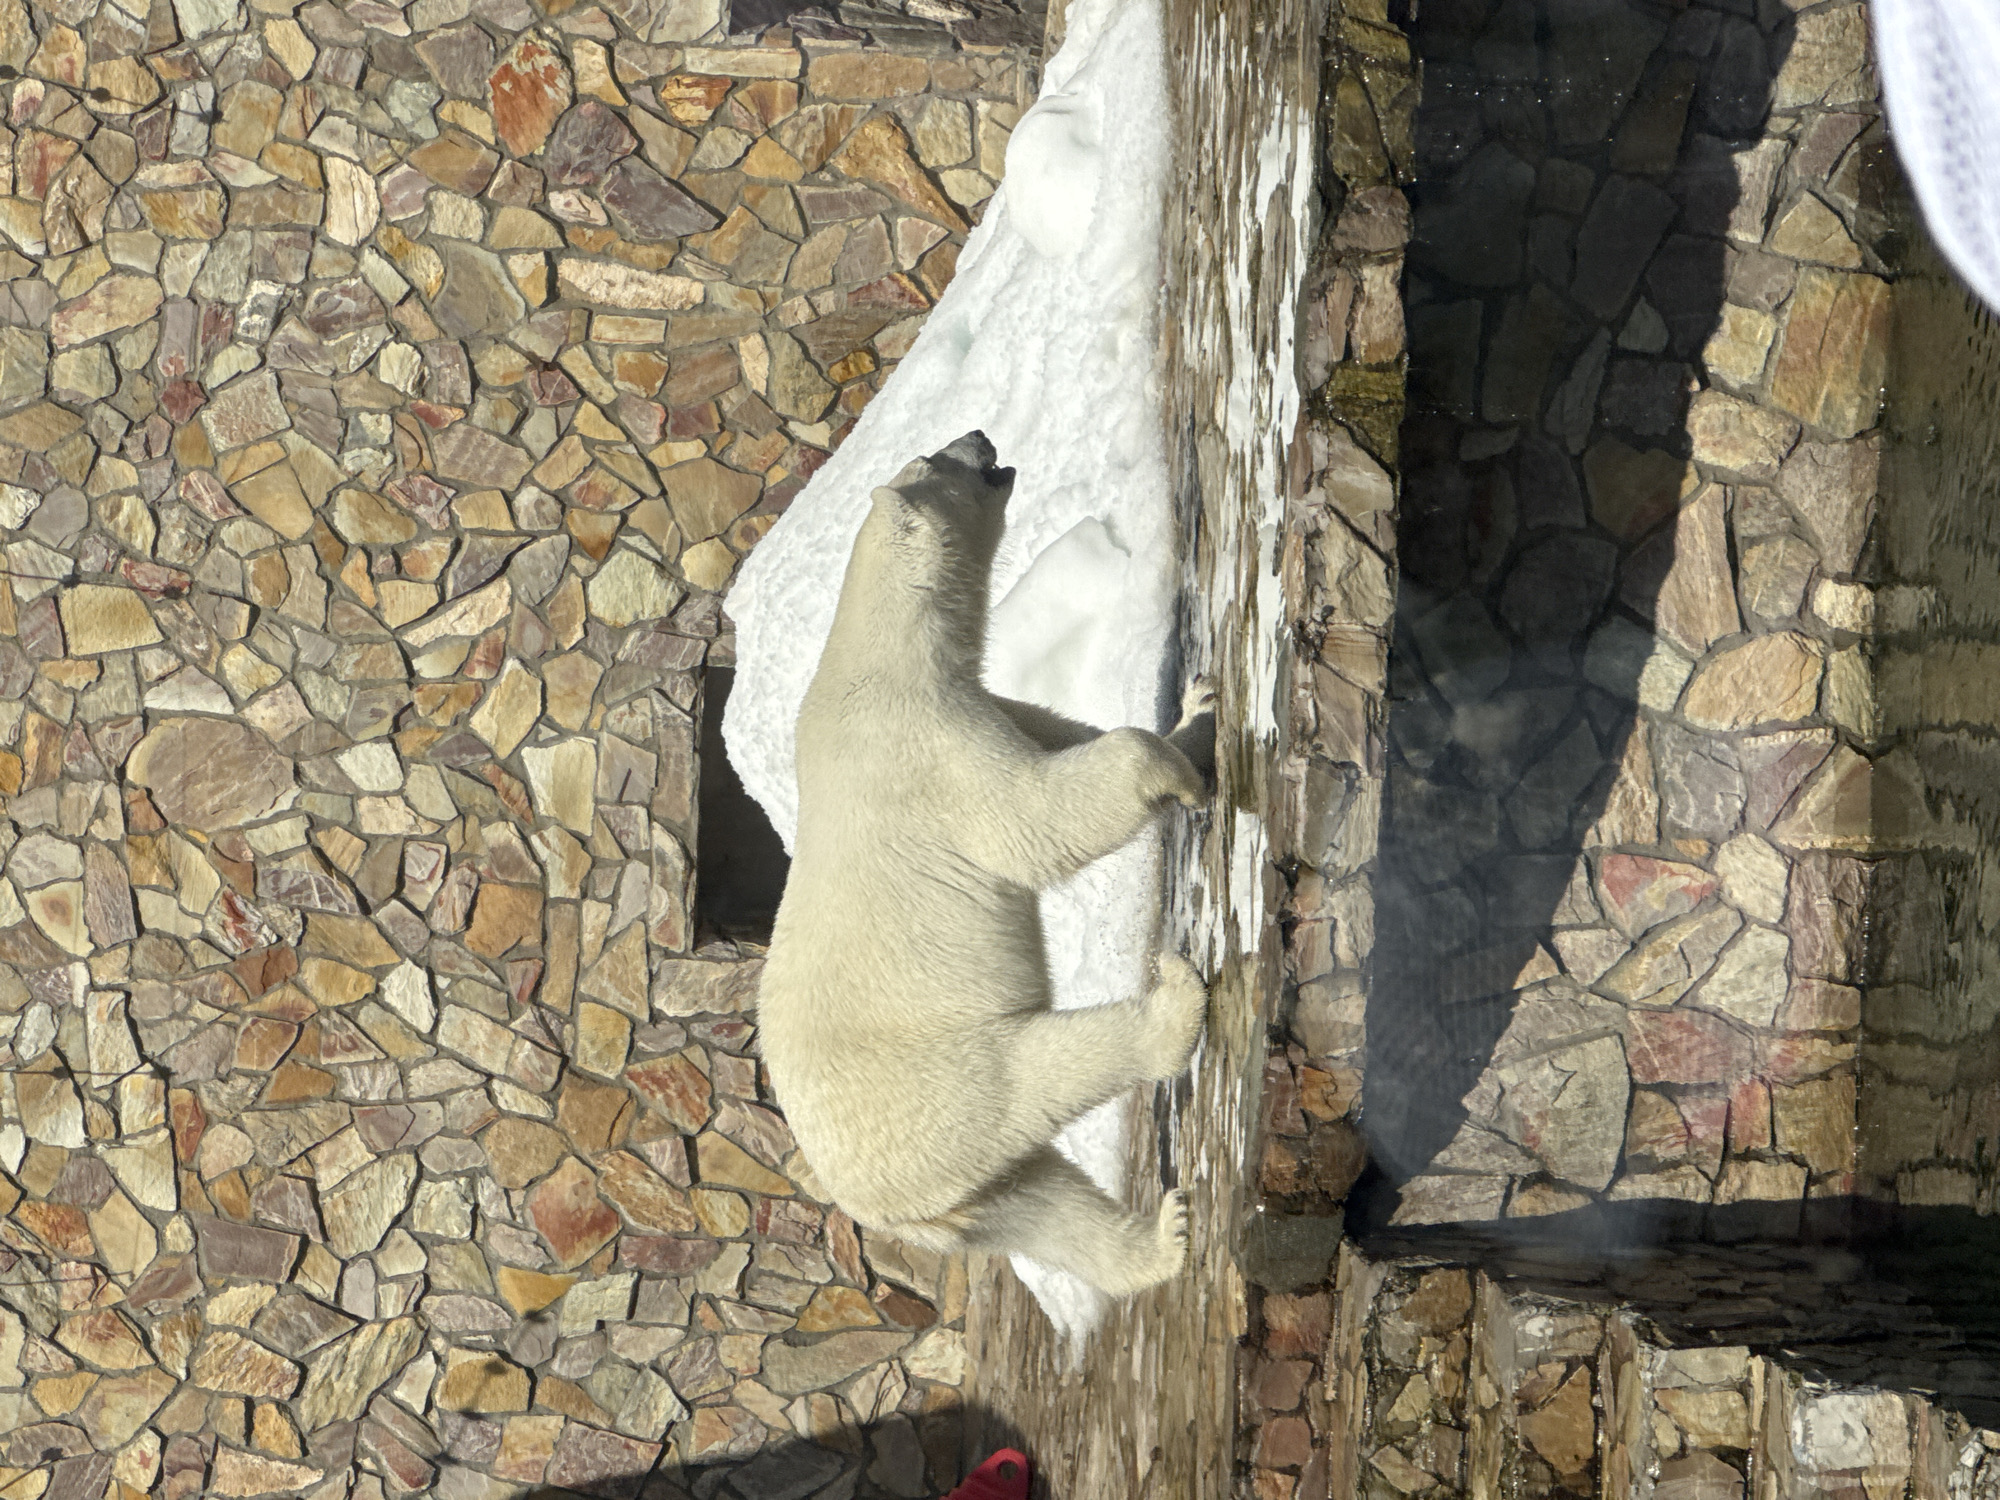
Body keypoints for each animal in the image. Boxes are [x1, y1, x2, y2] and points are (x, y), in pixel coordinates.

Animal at [755, 429, 1215, 1298]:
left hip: (963, 1192)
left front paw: (1194, 712)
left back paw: (1164, 1240)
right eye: (940, 460)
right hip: (938, 1084)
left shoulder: (986, 706)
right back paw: (1174, 1005)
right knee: (1036, 1071)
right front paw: (1176, 770)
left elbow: (1056, 732)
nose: (979, 437)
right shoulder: (927, 743)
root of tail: (887, 1209)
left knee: (1041, 1204)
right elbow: (1031, 816)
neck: (873, 656)